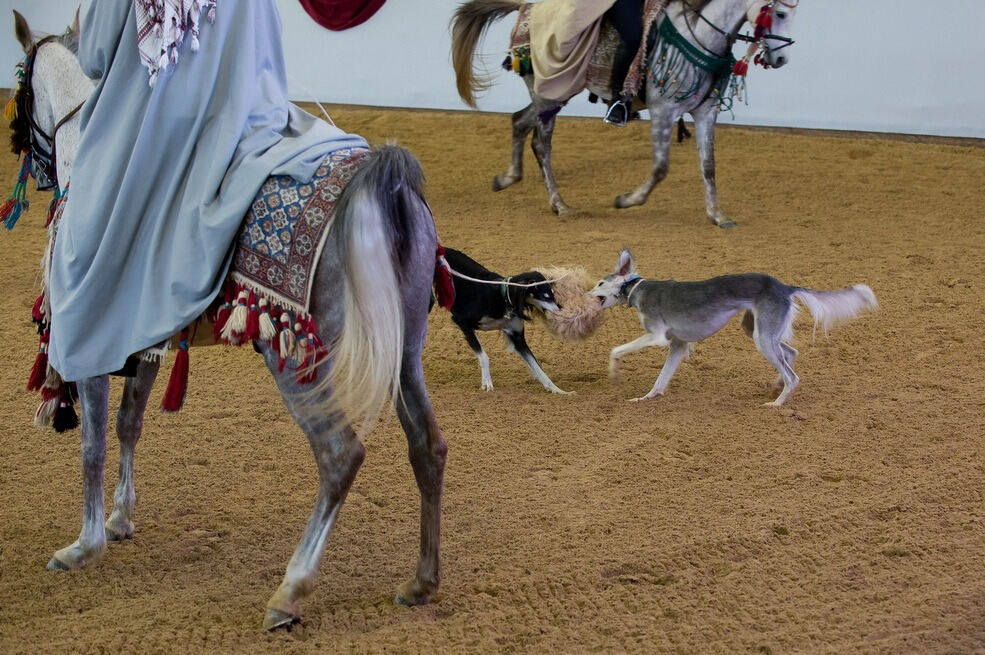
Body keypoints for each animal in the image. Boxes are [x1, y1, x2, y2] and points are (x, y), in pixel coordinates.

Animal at [10, 11, 450, 632]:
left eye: (20, 86)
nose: (30, 155)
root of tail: (379, 182)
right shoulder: (142, 345)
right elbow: (128, 424)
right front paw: (121, 519)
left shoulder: (92, 340)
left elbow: (92, 442)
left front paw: (84, 544)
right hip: (406, 352)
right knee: (427, 448)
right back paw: (420, 582)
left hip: (299, 362)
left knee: (341, 454)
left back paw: (290, 591)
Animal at [440, 247, 568, 394]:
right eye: (545, 296)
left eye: (553, 294)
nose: (560, 310)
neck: (501, 297)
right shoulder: (462, 322)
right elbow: (483, 356)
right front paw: (487, 382)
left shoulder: (517, 338)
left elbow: (538, 367)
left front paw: (557, 390)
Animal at [454, 0, 800, 226]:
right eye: (780, 12)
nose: (781, 59)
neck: (699, 34)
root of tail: (525, 9)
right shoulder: (664, 111)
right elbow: (660, 168)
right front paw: (627, 200)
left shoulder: (704, 112)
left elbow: (709, 166)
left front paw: (717, 215)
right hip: (548, 90)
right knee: (540, 141)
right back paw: (560, 205)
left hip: (555, 94)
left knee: (519, 121)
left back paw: (508, 178)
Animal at [592, 250, 876, 404]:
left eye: (599, 283)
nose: (586, 294)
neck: (634, 287)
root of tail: (783, 287)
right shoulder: (678, 345)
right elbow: (661, 378)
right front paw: (647, 397)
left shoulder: (656, 335)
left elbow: (616, 349)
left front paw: (614, 373)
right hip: (758, 330)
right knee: (791, 354)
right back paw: (776, 386)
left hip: (763, 338)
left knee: (792, 376)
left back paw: (777, 403)